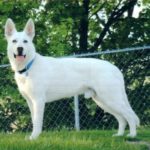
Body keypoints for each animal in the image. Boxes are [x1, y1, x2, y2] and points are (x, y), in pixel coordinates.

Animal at [4, 18, 139, 139]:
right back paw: (119, 135)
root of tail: (114, 68)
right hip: (103, 101)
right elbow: (34, 120)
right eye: (14, 41)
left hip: (111, 99)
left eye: (25, 41)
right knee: (121, 118)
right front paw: (34, 137)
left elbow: (37, 122)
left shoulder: (39, 101)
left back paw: (132, 135)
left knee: (129, 116)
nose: (20, 49)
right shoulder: (30, 102)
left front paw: (34, 138)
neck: (29, 66)